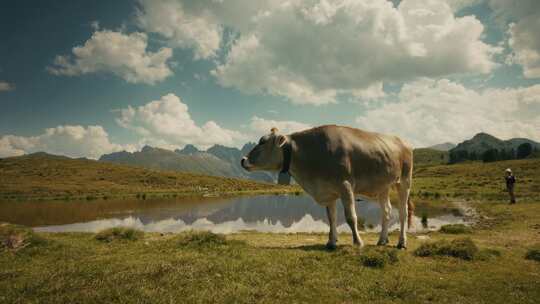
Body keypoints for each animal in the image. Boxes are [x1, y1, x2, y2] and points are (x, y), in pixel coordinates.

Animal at [240, 124, 414, 248]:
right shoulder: (328, 191)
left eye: (262, 142)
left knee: (403, 212)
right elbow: (331, 218)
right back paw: (382, 240)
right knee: (387, 212)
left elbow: (351, 217)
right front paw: (331, 242)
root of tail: (403, 141)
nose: (243, 160)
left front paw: (358, 242)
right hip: (383, 186)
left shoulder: (345, 185)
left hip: (404, 181)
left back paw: (402, 242)